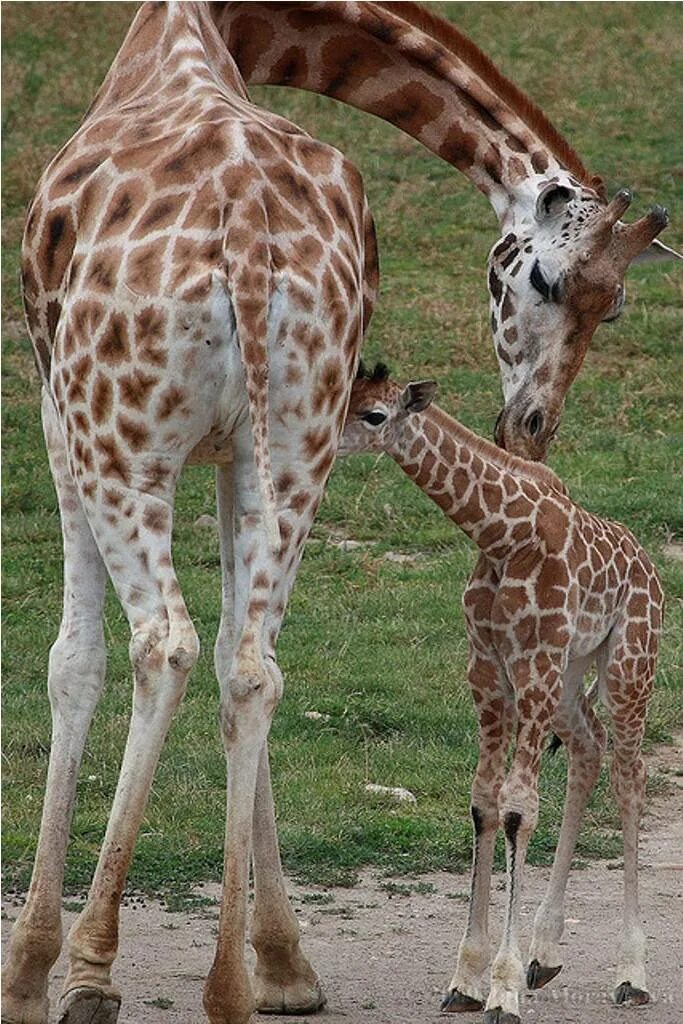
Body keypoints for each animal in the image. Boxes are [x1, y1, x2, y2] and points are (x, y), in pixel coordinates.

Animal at [339, 364, 663, 1019]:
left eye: (374, 415)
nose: (323, 441)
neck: (501, 534)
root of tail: (654, 573)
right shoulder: (487, 670)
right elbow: (483, 801)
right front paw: (466, 979)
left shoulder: (532, 665)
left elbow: (518, 806)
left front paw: (503, 988)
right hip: (569, 677)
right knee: (589, 750)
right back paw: (547, 952)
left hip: (625, 668)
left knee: (629, 775)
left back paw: (632, 973)